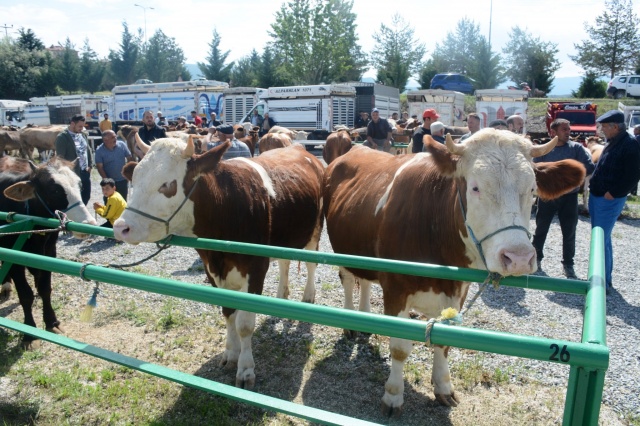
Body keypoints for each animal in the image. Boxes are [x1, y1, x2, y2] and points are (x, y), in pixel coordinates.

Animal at [111, 136, 324, 390]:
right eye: (134, 179)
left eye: (167, 184)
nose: (120, 227)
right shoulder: (211, 269)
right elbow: (228, 312)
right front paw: (231, 354)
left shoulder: (256, 268)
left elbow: (245, 324)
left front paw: (246, 369)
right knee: (284, 263)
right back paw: (281, 296)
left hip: (315, 230)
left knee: (311, 265)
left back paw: (308, 296)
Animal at [322, 130, 588, 416]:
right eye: (475, 187)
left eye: (533, 190)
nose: (518, 258)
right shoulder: (395, 289)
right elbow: (400, 348)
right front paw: (393, 395)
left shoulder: (458, 290)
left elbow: (444, 341)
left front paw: (443, 387)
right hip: (342, 249)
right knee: (349, 279)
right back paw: (350, 322)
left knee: (366, 280)